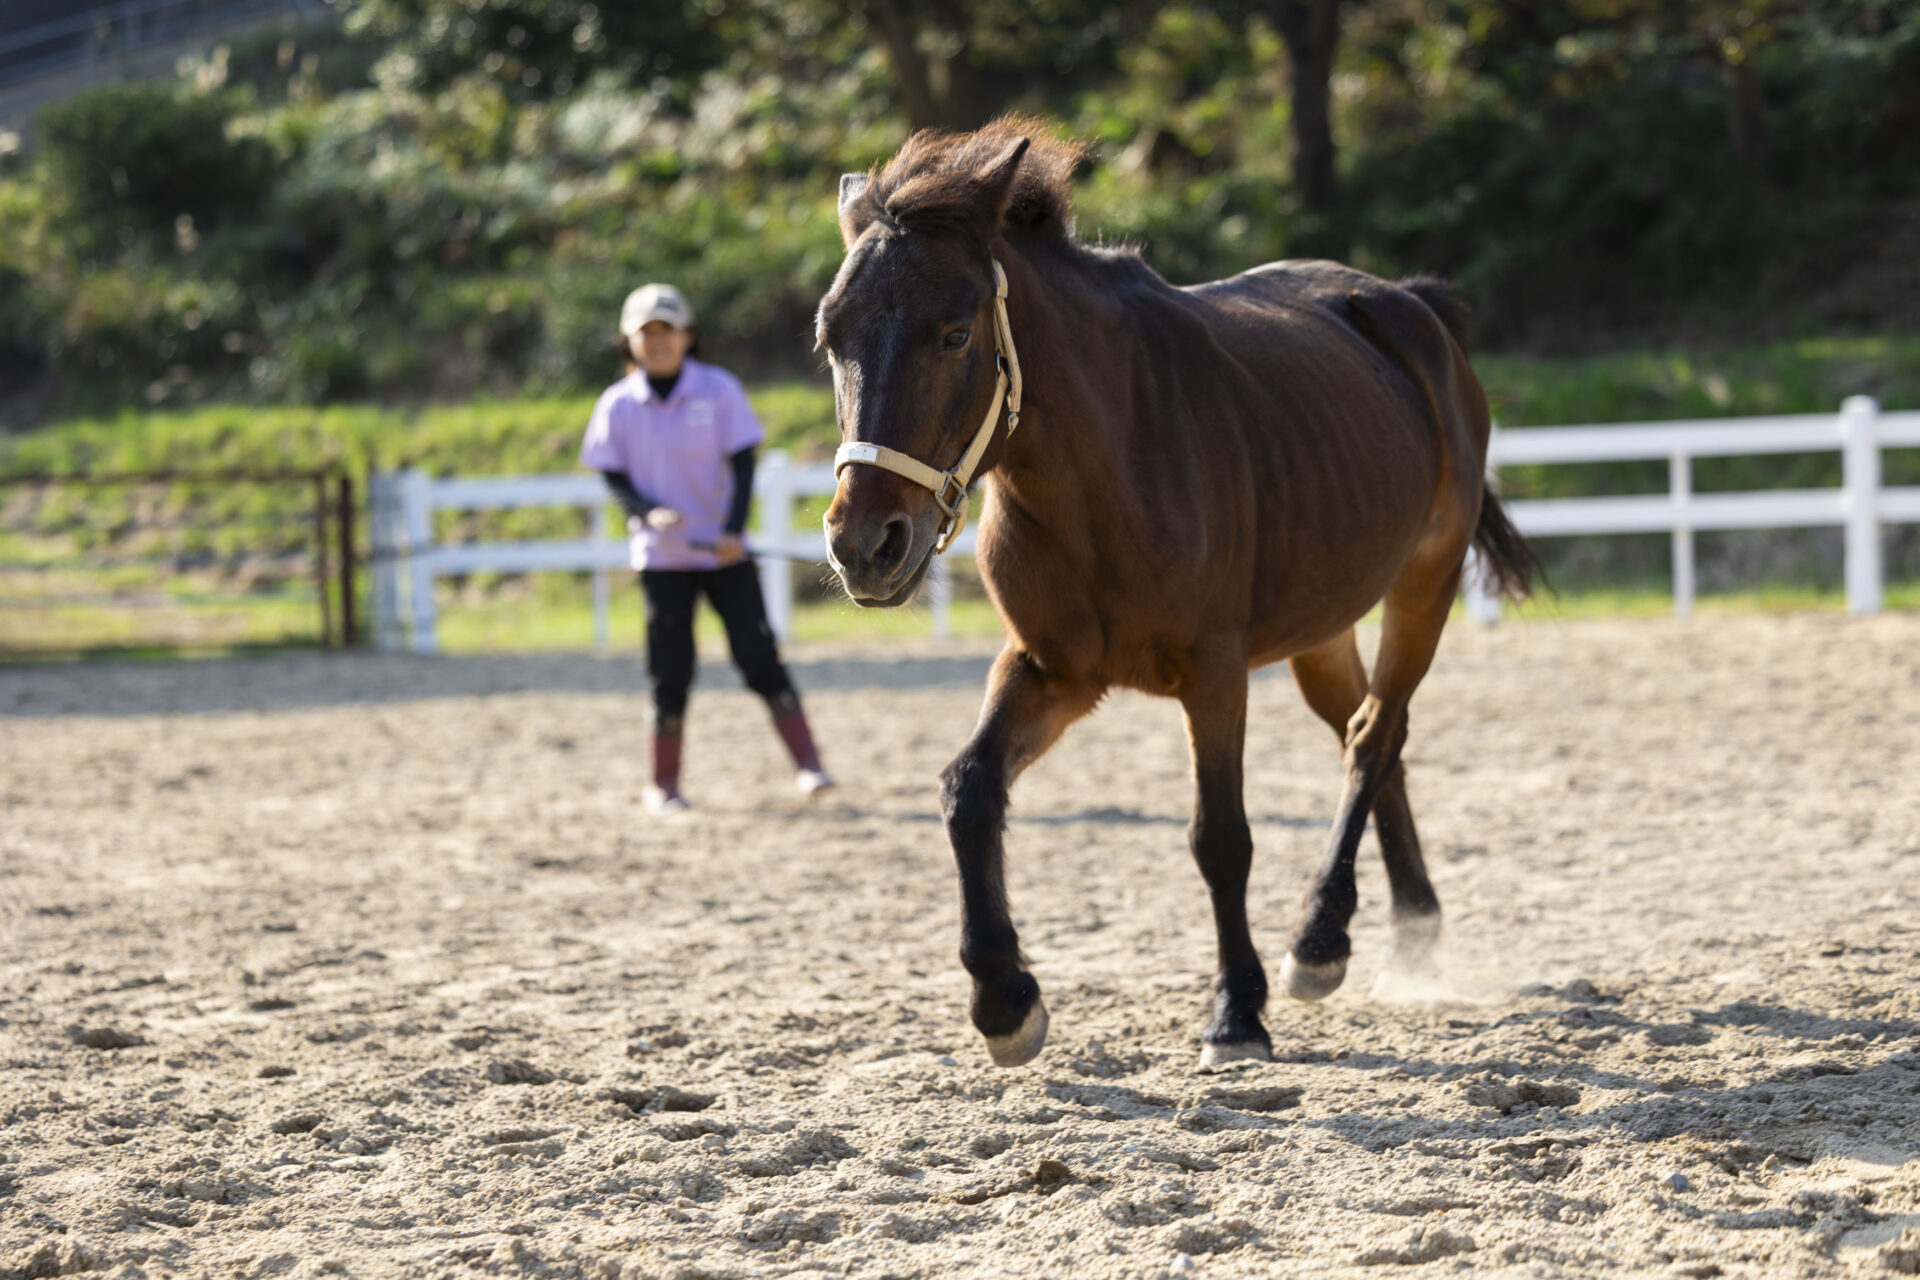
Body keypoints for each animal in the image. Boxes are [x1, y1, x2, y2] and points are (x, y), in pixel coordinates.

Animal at [817, 116, 1534, 1069]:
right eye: (831, 339)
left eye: (955, 333)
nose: (865, 545)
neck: (1104, 473)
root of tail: (1409, 311)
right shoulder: (1050, 669)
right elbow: (967, 791)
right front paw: (1005, 999)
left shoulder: (1214, 671)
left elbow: (1218, 837)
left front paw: (1237, 1012)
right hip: (1322, 630)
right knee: (1371, 738)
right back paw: (1410, 928)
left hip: (1425, 585)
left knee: (1375, 736)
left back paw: (1319, 941)